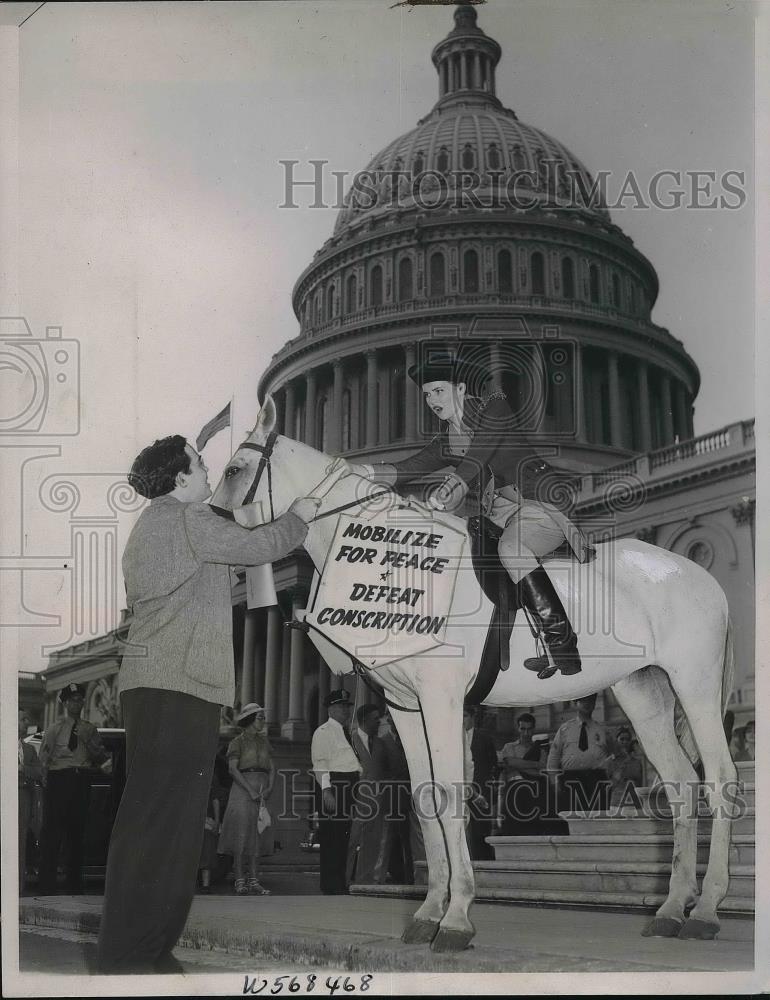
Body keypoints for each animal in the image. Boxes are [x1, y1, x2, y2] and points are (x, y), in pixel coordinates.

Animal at [212, 400, 736, 952]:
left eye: (234, 471)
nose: (221, 558)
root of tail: (700, 574)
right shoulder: (405, 707)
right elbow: (426, 798)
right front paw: (428, 912)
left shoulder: (442, 700)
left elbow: (448, 796)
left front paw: (457, 916)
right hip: (644, 691)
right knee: (680, 784)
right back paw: (671, 909)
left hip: (694, 683)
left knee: (719, 778)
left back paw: (706, 910)